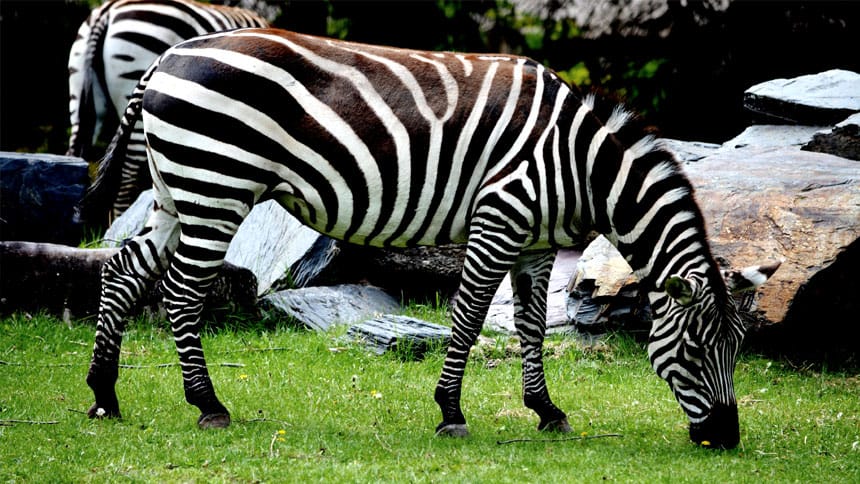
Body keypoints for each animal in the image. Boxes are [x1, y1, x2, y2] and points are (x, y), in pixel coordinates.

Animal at [79, 27, 780, 450]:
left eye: (739, 348)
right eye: (694, 349)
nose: (727, 437)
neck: (580, 165)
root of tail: (167, 59)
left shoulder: (535, 244)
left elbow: (530, 327)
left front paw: (546, 411)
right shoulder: (499, 217)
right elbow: (468, 318)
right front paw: (450, 412)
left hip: (177, 191)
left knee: (122, 272)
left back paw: (104, 395)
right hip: (214, 188)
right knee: (180, 294)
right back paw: (207, 403)